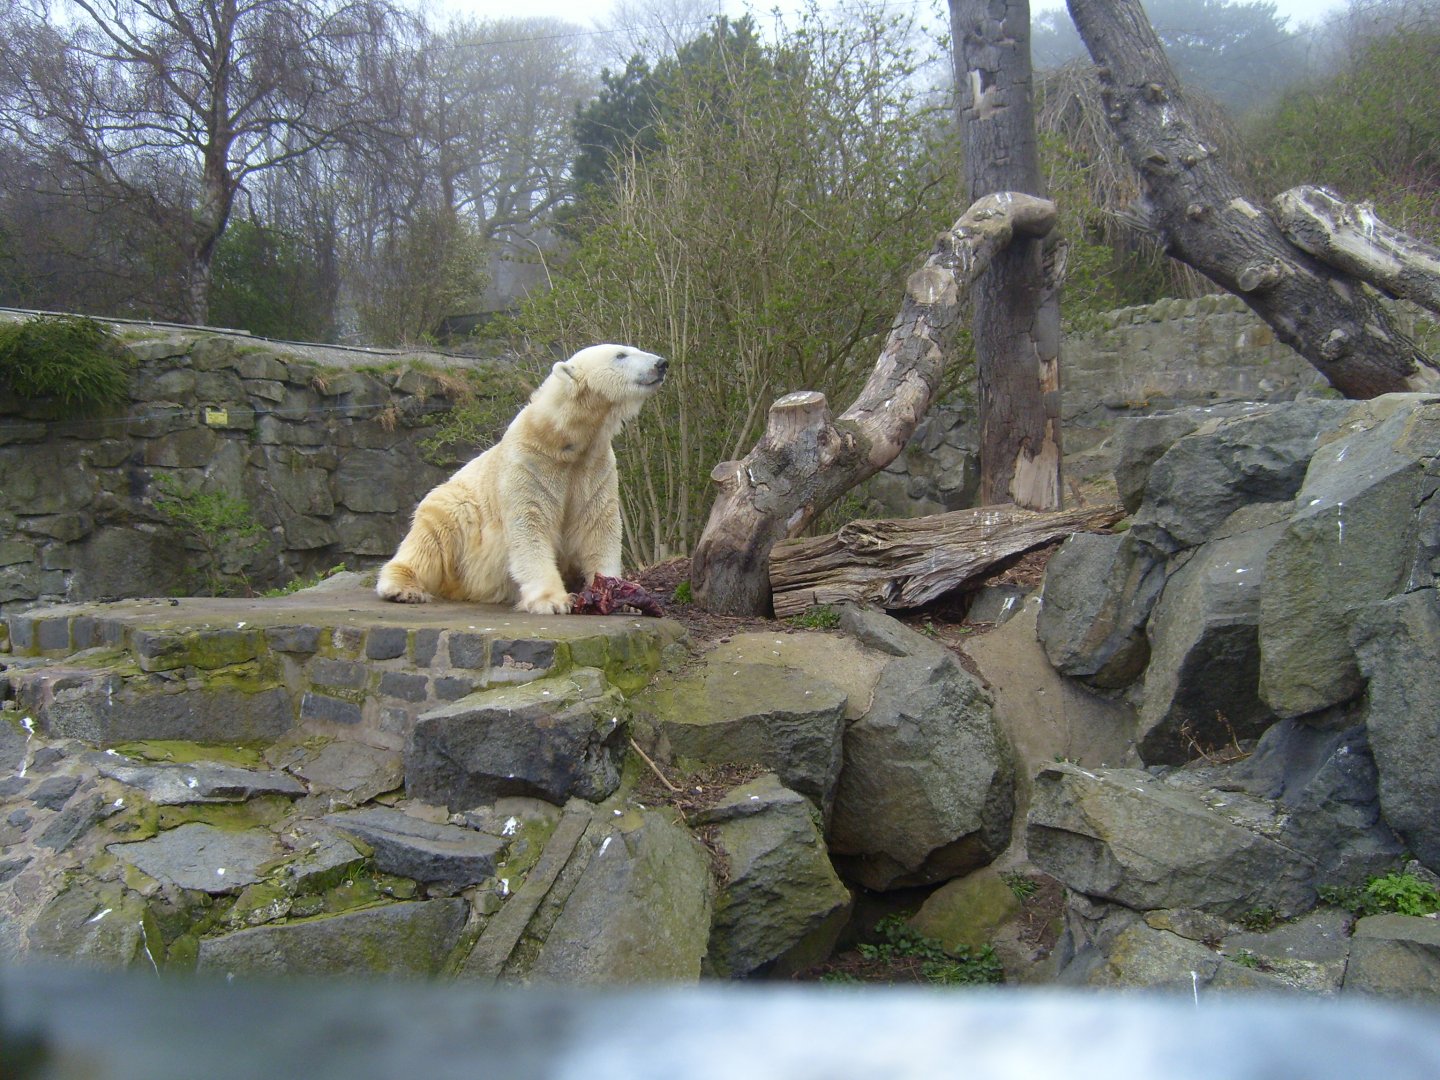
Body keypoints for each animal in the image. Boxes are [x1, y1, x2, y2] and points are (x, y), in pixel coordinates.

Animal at [376, 344, 667, 614]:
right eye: (621, 355)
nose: (661, 363)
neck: (563, 438)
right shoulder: (530, 463)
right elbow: (530, 524)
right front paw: (553, 601)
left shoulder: (595, 466)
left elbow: (598, 524)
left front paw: (620, 595)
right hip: (455, 505)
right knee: (431, 538)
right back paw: (403, 589)